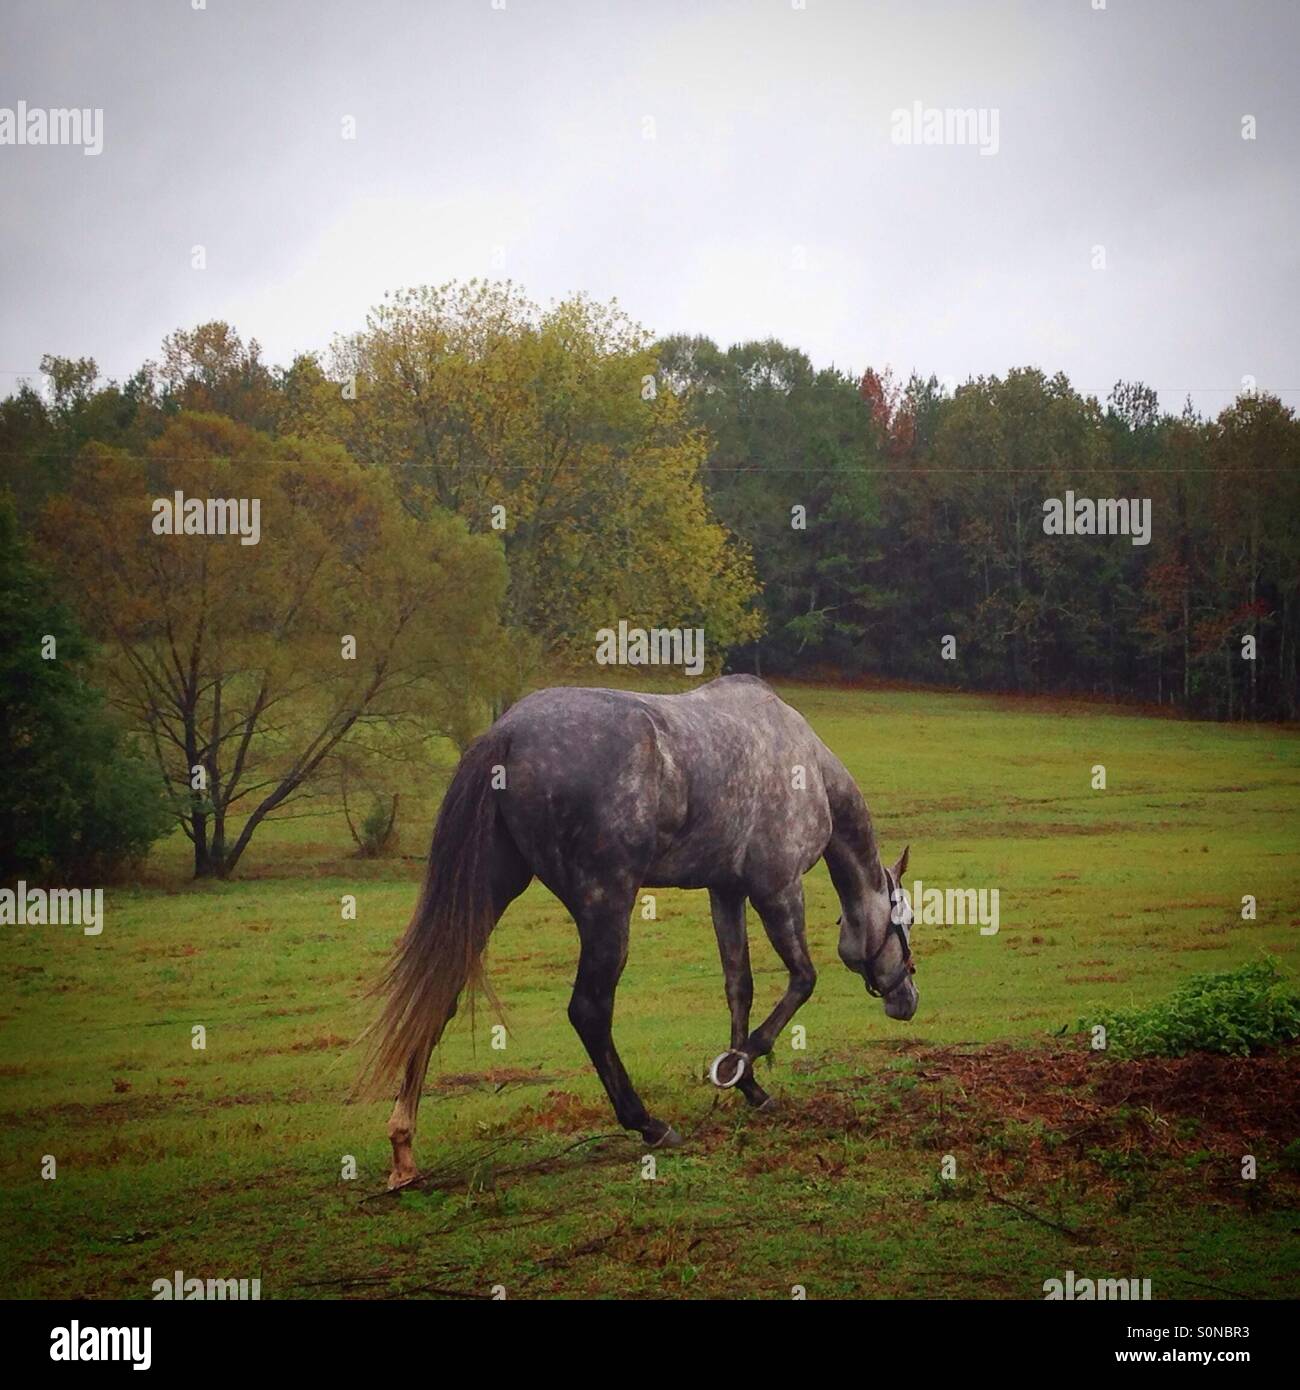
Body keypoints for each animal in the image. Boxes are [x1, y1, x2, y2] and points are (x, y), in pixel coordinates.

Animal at [361, 669, 917, 1184]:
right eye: (906, 919)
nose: (908, 999)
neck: (809, 767)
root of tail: (508, 732)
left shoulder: (726, 891)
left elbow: (739, 986)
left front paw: (751, 1085)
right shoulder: (778, 889)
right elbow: (802, 979)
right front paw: (735, 1064)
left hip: (490, 892)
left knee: (439, 995)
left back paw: (403, 1146)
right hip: (606, 909)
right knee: (589, 1010)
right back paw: (647, 1123)